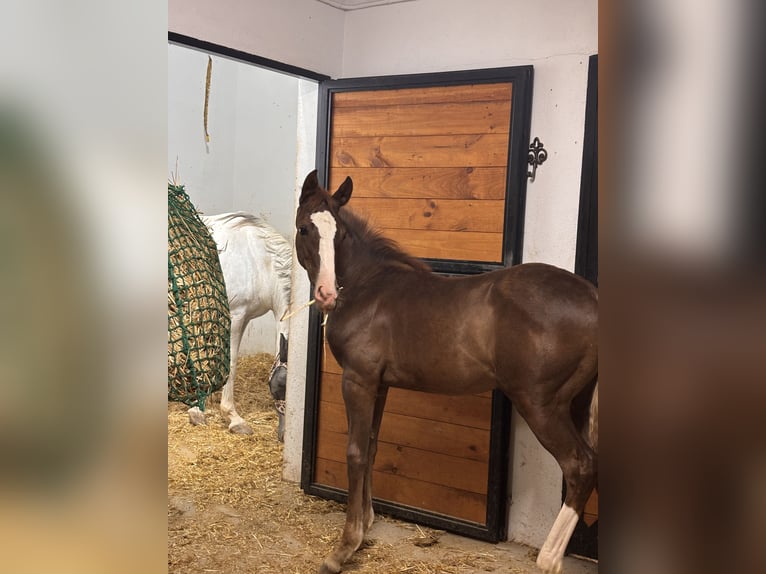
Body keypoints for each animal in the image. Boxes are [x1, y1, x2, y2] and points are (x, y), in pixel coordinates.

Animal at [187, 212, 292, 440]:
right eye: (278, 386)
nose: (283, 435)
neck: (260, 262)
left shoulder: (244, 319)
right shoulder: (234, 316)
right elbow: (231, 363)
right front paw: (232, 418)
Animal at [294, 171, 598, 574]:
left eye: (339, 233)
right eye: (304, 229)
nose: (327, 295)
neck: (368, 287)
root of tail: (593, 297)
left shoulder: (358, 380)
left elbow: (356, 452)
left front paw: (345, 547)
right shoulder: (379, 385)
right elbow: (372, 446)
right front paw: (367, 524)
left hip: (541, 404)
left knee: (579, 465)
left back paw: (548, 559)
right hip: (575, 402)